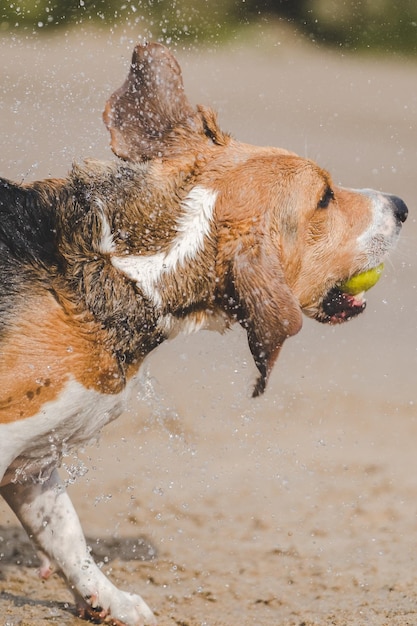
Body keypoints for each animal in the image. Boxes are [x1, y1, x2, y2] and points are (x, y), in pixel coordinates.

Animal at [0, 41, 406, 620]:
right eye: (324, 198)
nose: (402, 206)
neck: (129, 267)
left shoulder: (33, 461)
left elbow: (68, 539)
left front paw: (113, 602)